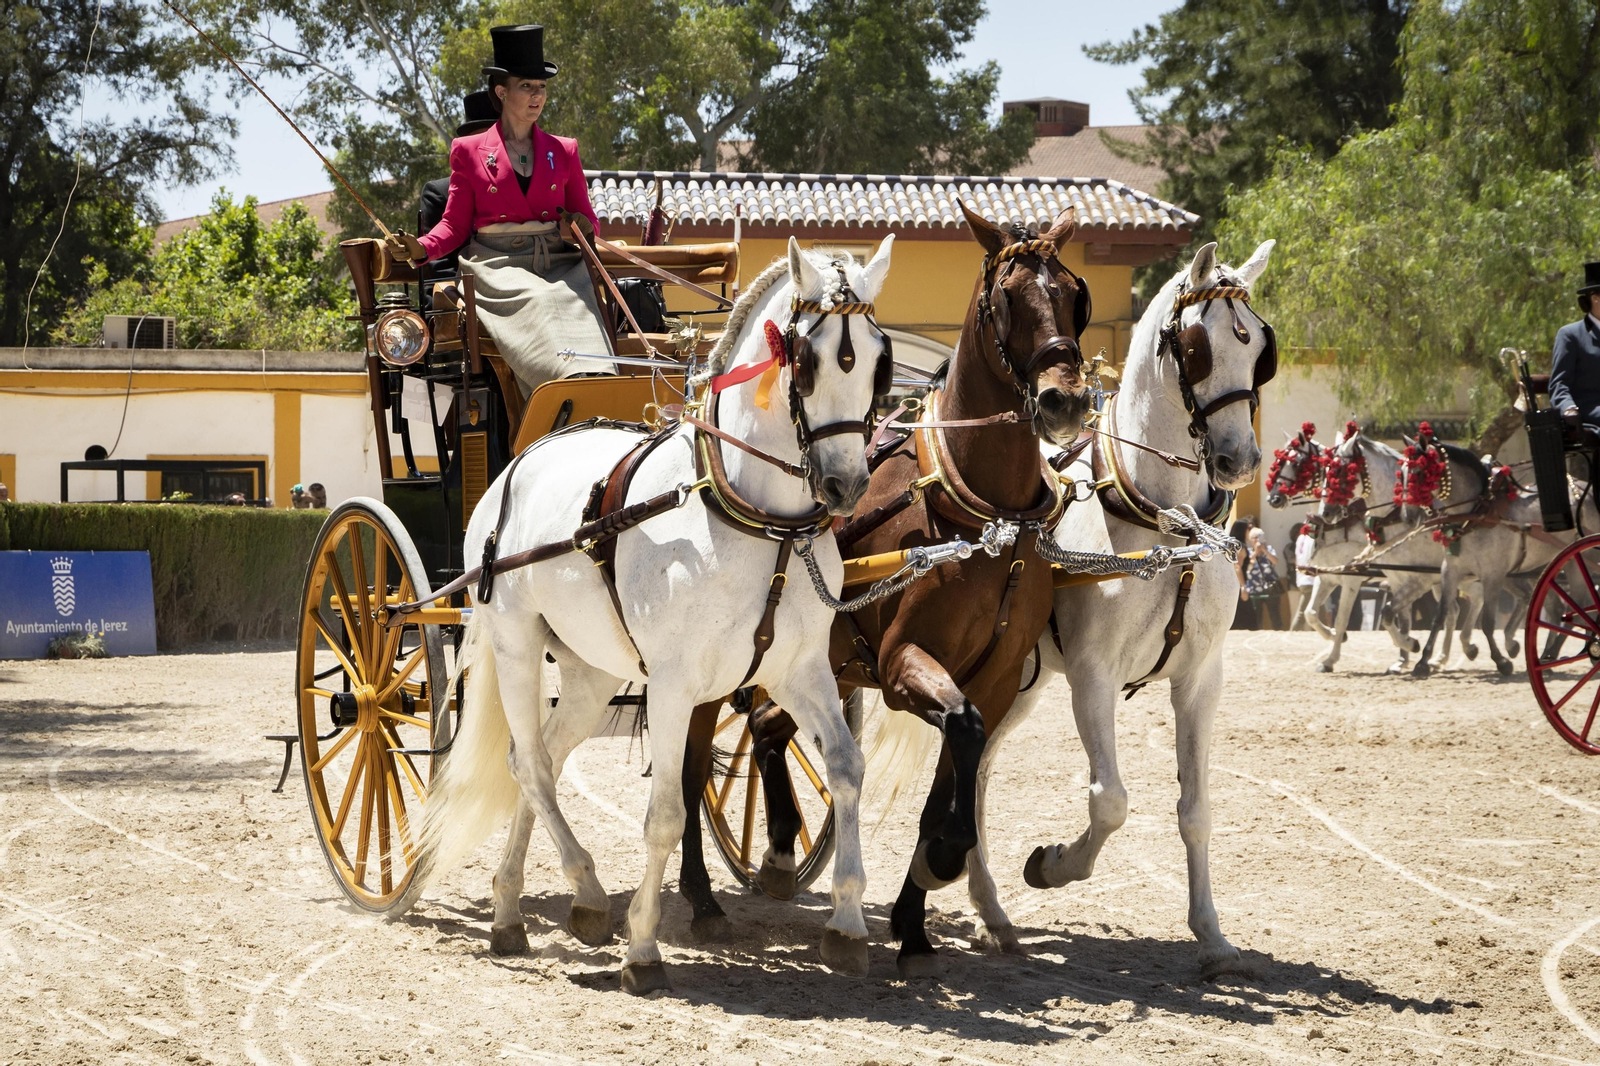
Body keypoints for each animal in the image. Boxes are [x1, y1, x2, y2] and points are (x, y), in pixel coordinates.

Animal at [394, 237, 896, 994]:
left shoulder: (801, 670)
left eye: (877, 358)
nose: (845, 485)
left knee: (535, 759)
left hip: (592, 670)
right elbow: (664, 813)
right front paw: (644, 950)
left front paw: (846, 923)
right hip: (514, 644)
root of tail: (522, 461)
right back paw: (587, 893)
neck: (753, 520)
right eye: (807, 361)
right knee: (533, 764)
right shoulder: (674, 684)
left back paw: (515, 906)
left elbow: (845, 768)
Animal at [677, 202, 1095, 978]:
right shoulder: (905, 663)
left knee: (766, 727)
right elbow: (959, 732)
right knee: (691, 761)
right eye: (1006, 299)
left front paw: (913, 918)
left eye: (1073, 295)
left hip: (816, 661)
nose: (1064, 400)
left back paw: (778, 849)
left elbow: (954, 767)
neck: (984, 515)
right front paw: (942, 861)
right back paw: (699, 891)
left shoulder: (991, 680)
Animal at [960, 239, 1275, 978]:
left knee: (976, 765)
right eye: (1197, 347)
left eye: (1259, 347)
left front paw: (1212, 936)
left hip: (1015, 680)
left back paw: (990, 909)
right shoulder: (1092, 675)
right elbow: (1110, 802)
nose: (1238, 459)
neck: (1167, 523)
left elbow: (1196, 810)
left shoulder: (1202, 679)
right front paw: (1052, 864)